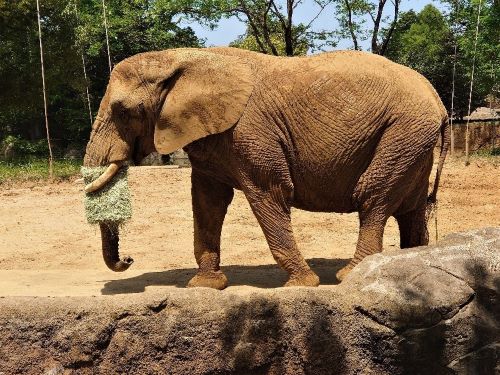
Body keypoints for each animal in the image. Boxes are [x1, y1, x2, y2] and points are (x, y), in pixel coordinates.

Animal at [82, 45, 450, 290]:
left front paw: (301, 286)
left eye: (123, 111)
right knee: (412, 209)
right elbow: (208, 202)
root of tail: (438, 101)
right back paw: (406, 267)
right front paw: (205, 286)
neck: (183, 58)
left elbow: (269, 193)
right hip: (411, 140)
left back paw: (351, 276)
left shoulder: (252, 132)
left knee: (372, 197)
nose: (129, 259)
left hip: (403, 132)